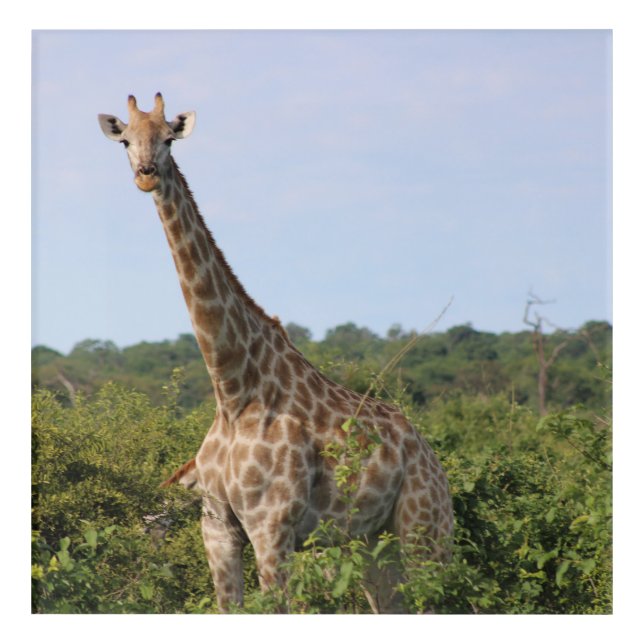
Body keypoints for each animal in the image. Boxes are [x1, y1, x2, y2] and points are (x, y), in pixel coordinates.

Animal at [98, 93, 453, 612]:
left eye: (168, 139)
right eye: (125, 140)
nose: (145, 174)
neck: (232, 388)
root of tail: (431, 454)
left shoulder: (272, 527)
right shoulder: (217, 529)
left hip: (425, 528)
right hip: (373, 544)